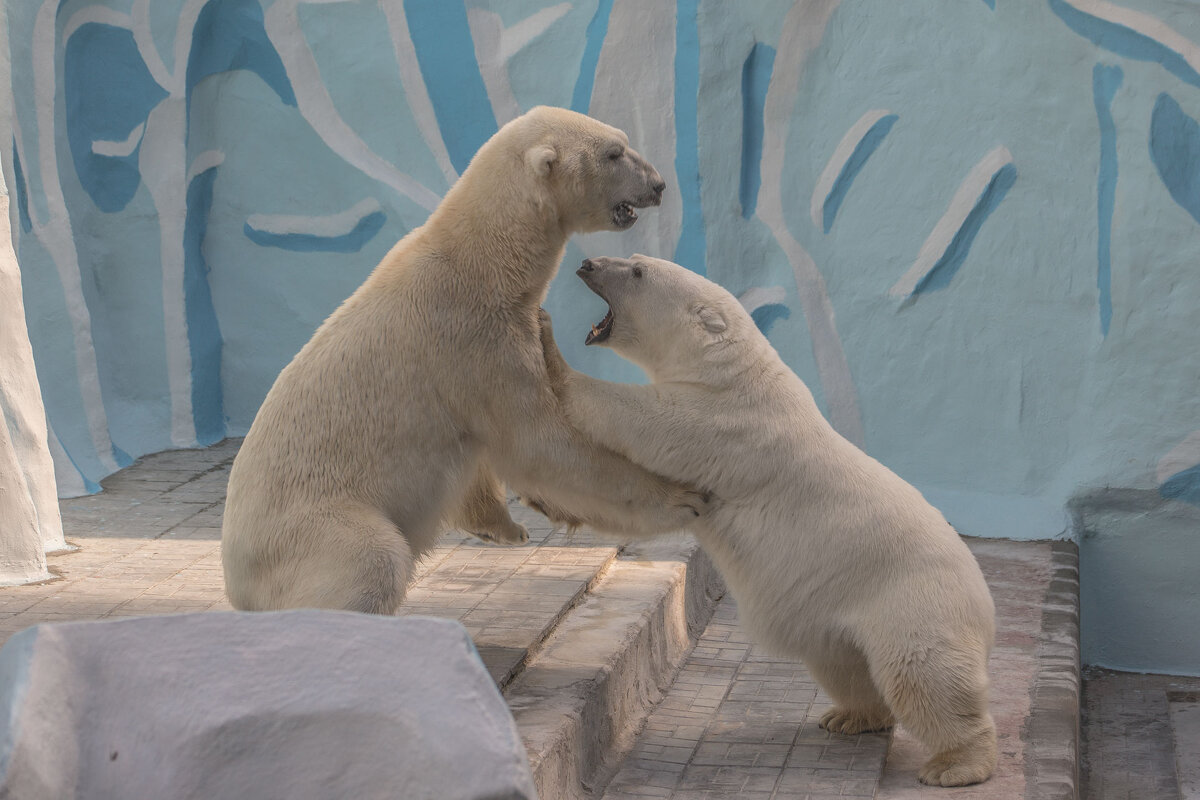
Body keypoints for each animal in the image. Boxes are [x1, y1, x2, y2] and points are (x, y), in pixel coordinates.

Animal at [220, 109, 705, 618]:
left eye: (623, 140)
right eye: (614, 153)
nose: (658, 184)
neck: (486, 258)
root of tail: (237, 583)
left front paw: (505, 527)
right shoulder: (476, 339)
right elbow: (541, 443)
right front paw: (681, 498)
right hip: (311, 530)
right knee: (372, 559)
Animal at [540, 256, 998, 786]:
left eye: (637, 272)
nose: (588, 262)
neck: (730, 370)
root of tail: (984, 603)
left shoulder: (724, 422)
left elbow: (641, 420)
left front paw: (548, 344)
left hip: (911, 603)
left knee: (923, 677)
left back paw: (956, 764)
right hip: (838, 613)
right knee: (844, 665)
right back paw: (850, 716)